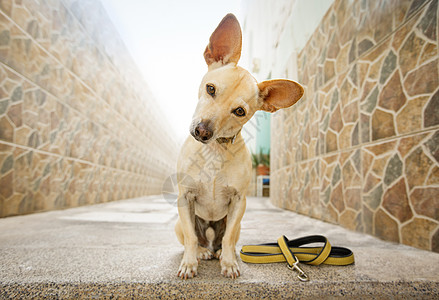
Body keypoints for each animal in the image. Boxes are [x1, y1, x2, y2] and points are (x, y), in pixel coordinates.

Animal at [174, 12, 304, 280]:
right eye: (210, 88)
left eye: (239, 111)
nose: (203, 131)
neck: (214, 151)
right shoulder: (185, 198)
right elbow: (191, 238)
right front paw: (189, 264)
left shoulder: (239, 202)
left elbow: (229, 238)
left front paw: (229, 263)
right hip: (180, 223)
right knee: (197, 239)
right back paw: (202, 252)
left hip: (237, 224)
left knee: (225, 241)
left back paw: (223, 254)